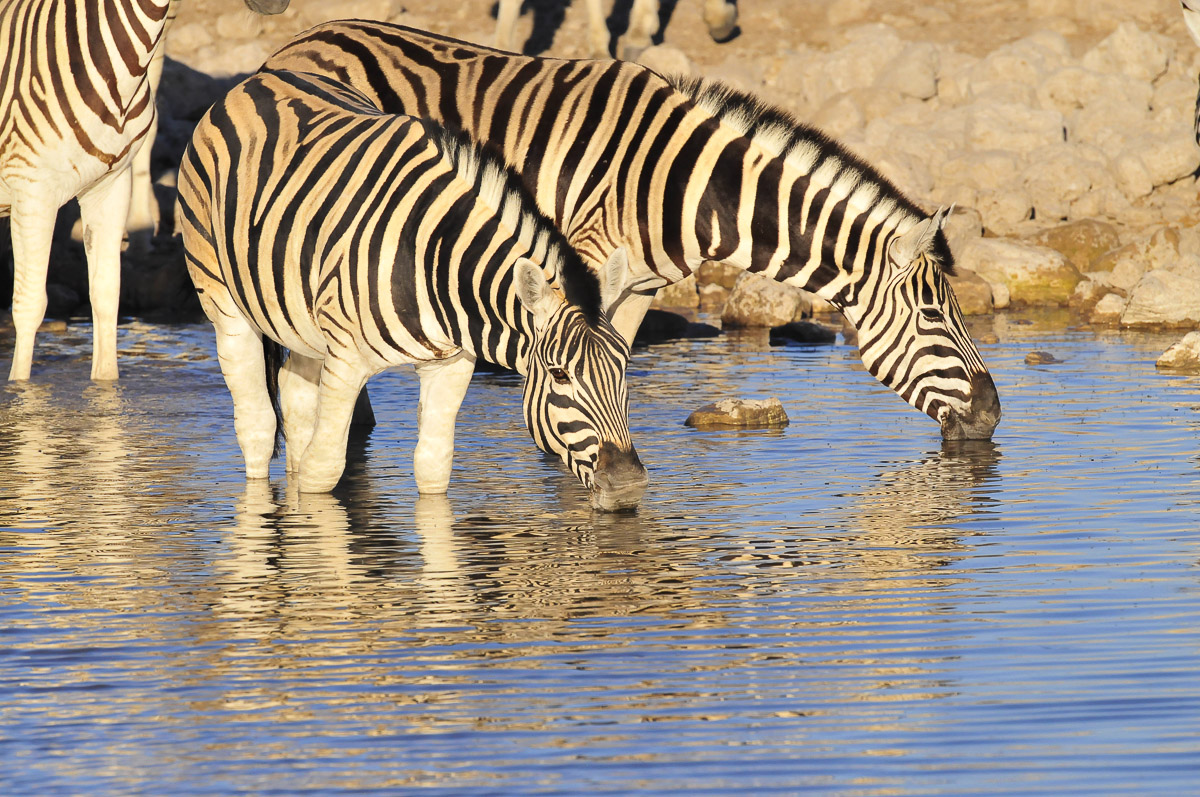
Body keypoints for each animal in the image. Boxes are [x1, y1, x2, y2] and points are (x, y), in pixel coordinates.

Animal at [0, 0, 288, 382]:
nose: (277, 5)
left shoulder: (110, 186)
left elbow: (106, 296)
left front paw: (106, 390)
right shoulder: (33, 189)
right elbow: (30, 305)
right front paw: (21, 390)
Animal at [176, 68, 648, 510]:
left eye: (624, 367)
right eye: (559, 374)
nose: (627, 486)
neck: (435, 260)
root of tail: (258, 79)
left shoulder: (452, 365)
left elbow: (433, 467)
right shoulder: (345, 363)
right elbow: (322, 470)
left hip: (302, 322)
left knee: (293, 399)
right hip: (223, 301)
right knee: (256, 425)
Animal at [263, 22, 1001, 441]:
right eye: (934, 317)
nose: (994, 417)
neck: (691, 187)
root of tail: (298, 41)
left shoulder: (640, 285)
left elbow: (611, 355)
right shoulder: (582, 265)